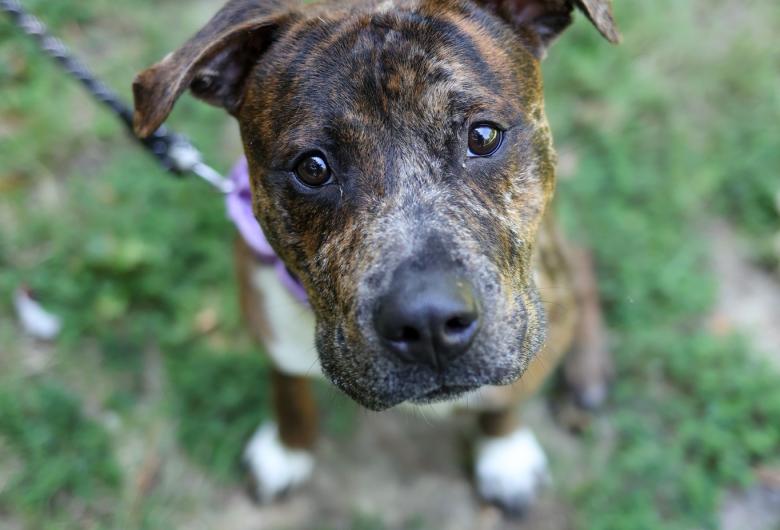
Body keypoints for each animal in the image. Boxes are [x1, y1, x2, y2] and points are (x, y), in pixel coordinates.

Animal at [136, 0, 620, 512]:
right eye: (313, 167)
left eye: (484, 136)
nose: (429, 323)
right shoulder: (265, 318)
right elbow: (289, 390)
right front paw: (288, 449)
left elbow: (505, 401)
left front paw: (504, 454)